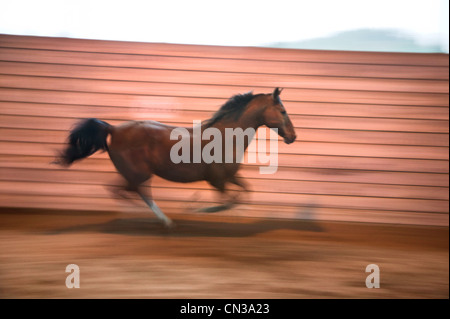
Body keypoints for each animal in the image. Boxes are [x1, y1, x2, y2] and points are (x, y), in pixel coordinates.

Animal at [55, 87, 296, 228]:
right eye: (283, 111)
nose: (293, 136)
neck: (226, 136)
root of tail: (113, 129)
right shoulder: (217, 181)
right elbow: (229, 202)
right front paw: (196, 207)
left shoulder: (229, 177)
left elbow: (245, 193)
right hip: (138, 173)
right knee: (129, 192)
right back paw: (156, 219)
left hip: (134, 174)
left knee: (126, 191)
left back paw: (157, 218)